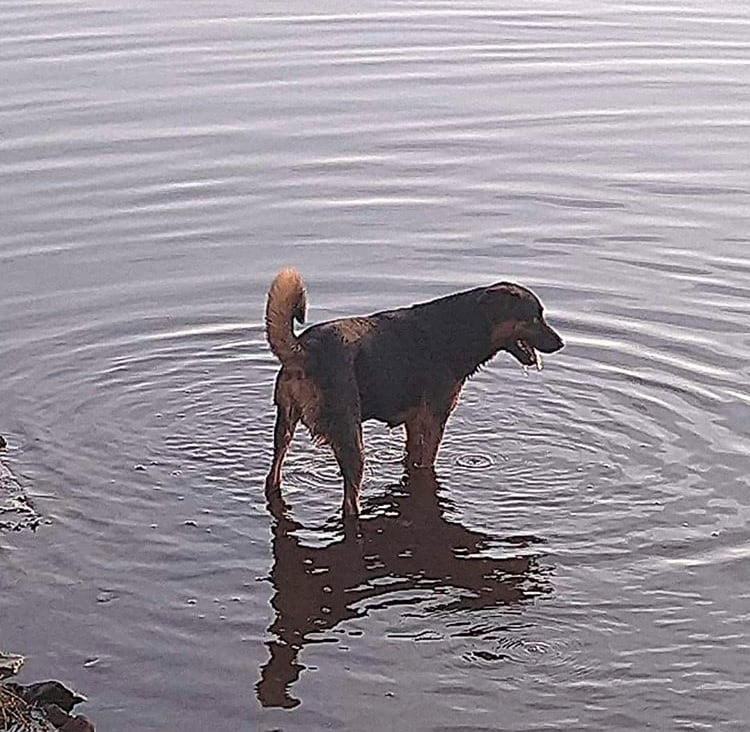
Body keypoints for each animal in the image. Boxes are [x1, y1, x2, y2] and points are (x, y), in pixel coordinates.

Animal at [264, 270, 564, 520]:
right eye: (534, 317)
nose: (561, 343)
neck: (463, 329)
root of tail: (305, 349)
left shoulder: (414, 421)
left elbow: (411, 457)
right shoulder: (434, 419)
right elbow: (426, 464)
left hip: (285, 424)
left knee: (273, 473)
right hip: (350, 436)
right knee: (350, 500)